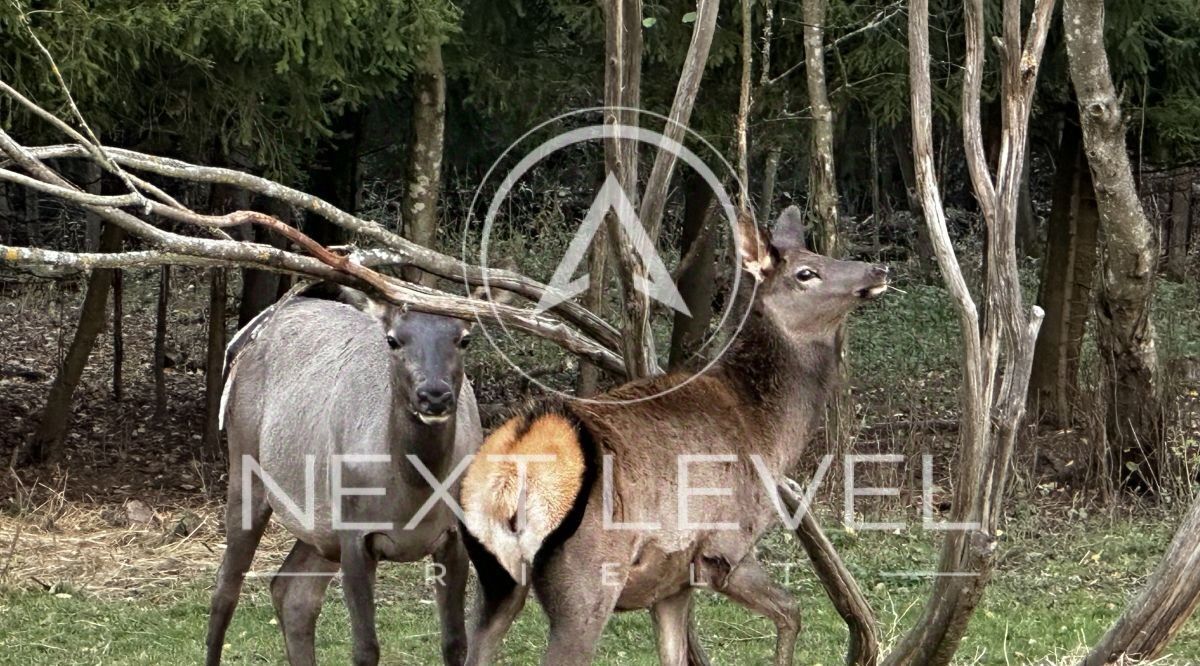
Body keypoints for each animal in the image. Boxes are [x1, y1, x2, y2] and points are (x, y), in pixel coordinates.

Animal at [207, 284, 482, 666]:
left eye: (464, 338)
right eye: (394, 339)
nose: (434, 395)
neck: (412, 497)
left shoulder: (456, 533)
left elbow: (456, 643)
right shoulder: (355, 533)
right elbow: (365, 648)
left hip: (321, 527)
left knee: (292, 591)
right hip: (246, 465)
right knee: (225, 589)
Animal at [453, 206, 888, 662]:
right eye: (806, 273)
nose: (878, 269)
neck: (769, 435)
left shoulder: (672, 579)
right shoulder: (723, 547)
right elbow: (791, 609)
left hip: (494, 579)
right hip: (586, 582)